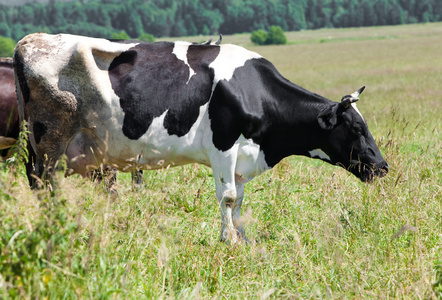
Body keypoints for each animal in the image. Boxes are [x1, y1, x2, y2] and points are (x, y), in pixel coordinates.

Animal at [13, 33, 388, 244]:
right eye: (356, 129)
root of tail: (30, 40)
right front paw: (230, 241)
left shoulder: (243, 156)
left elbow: (240, 201)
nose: (382, 166)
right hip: (50, 140)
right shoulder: (223, 145)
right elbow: (228, 197)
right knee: (44, 185)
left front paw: (244, 237)